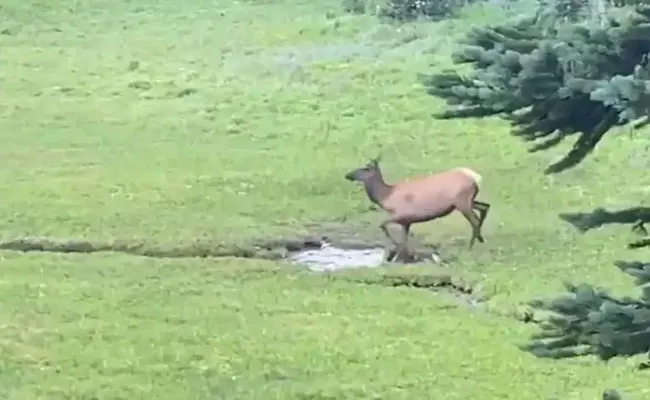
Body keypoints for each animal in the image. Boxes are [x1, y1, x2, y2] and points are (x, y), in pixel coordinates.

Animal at [344, 156, 486, 262]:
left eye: (366, 168)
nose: (347, 175)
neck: (385, 198)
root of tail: (476, 178)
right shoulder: (407, 222)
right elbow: (403, 240)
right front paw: (402, 255)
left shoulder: (402, 215)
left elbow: (383, 225)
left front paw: (394, 253)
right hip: (467, 202)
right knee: (484, 208)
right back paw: (480, 238)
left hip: (462, 202)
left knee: (474, 220)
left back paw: (472, 245)